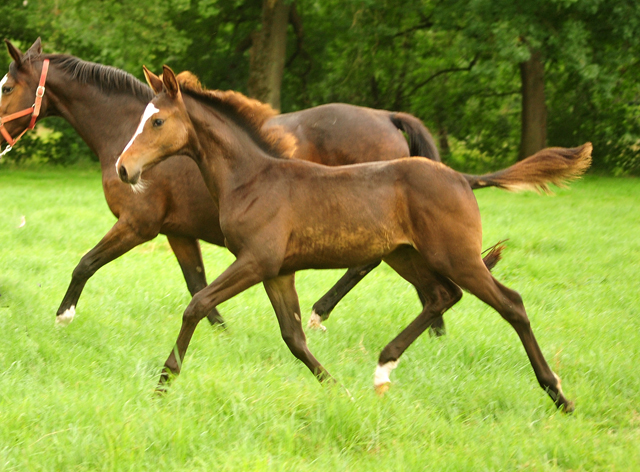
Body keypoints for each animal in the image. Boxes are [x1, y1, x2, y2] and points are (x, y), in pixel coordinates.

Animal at [116, 65, 592, 410]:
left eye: (157, 121)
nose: (123, 168)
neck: (251, 178)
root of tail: (462, 178)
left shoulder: (256, 261)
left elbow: (196, 305)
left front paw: (162, 384)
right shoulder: (278, 271)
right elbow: (293, 338)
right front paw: (338, 389)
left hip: (457, 256)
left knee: (510, 303)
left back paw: (558, 395)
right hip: (406, 255)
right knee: (442, 295)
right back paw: (383, 368)